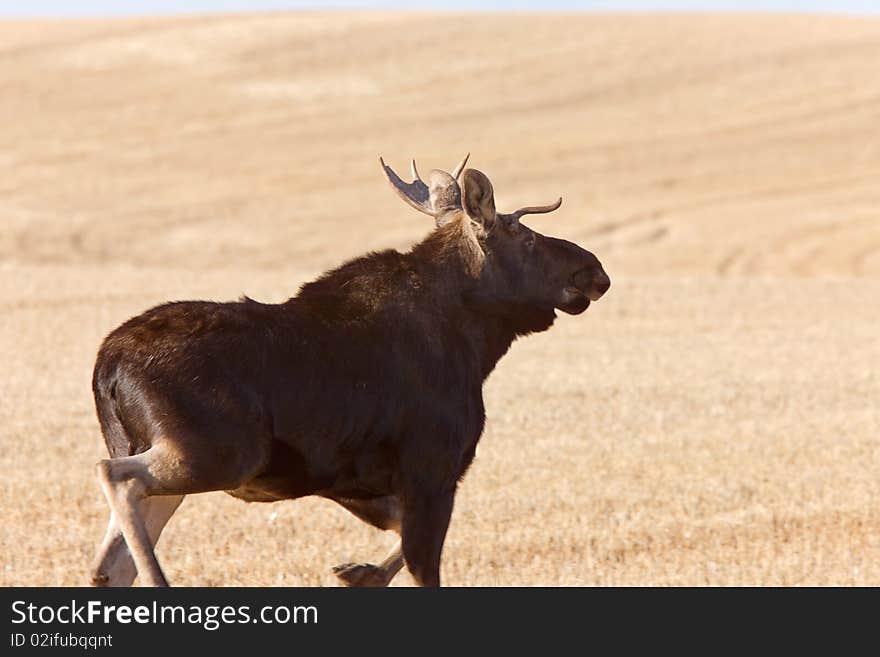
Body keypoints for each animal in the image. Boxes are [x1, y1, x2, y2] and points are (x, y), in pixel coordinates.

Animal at [91, 156, 612, 588]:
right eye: (527, 238)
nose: (595, 271)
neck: (477, 347)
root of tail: (106, 368)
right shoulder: (432, 468)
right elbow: (422, 565)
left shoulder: (368, 485)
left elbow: (397, 545)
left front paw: (358, 572)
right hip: (218, 452)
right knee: (117, 479)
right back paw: (160, 580)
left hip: (176, 456)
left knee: (110, 565)